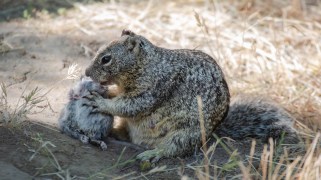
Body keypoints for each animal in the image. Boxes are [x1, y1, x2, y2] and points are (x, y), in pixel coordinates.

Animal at [84, 29, 296, 162]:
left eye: (106, 59)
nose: (86, 72)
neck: (148, 65)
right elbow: (119, 97)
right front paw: (105, 92)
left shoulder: (153, 90)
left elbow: (130, 106)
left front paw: (100, 102)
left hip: (184, 133)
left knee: (173, 149)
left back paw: (152, 154)